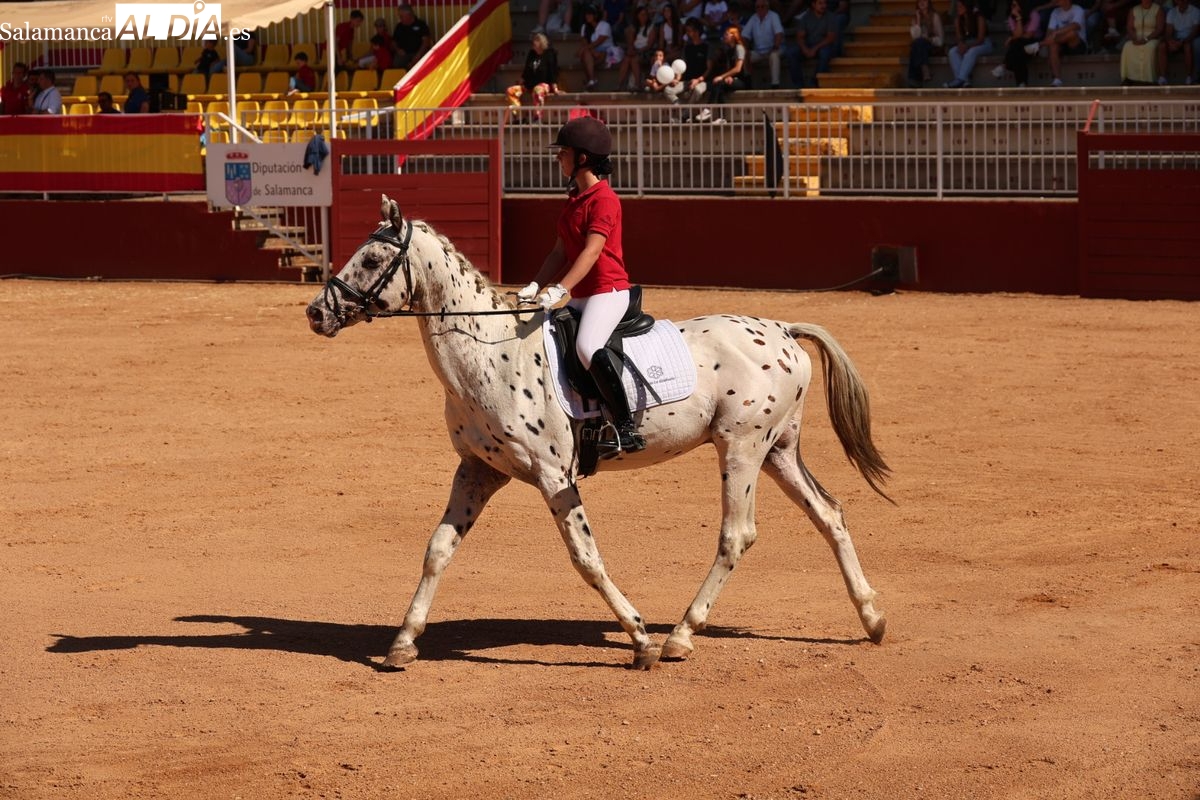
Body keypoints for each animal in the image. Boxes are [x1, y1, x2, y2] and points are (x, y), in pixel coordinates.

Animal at [306, 195, 891, 670]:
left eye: (372, 260)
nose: (315, 313)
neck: (491, 355)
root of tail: (783, 329)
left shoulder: (553, 476)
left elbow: (586, 558)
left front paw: (640, 640)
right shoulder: (477, 471)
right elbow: (437, 549)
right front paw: (403, 642)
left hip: (742, 448)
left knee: (737, 535)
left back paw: (680, 635)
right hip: (777, 452)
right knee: (829, 514)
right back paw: (872, 618)